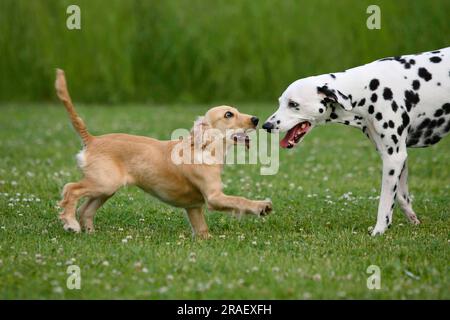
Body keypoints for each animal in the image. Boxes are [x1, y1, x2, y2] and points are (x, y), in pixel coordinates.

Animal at [52, 70, 270, 240]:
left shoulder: (193, 207)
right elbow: (240, 201)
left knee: (85, 210)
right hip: (104, 183)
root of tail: (92, 139)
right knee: (70, 189)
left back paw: (89, 232)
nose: (256, 119)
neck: (205, 148)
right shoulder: (213, 197)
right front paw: (261, 206)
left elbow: (202, 230)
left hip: (106, 188)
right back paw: (70, 223)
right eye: (228, 115)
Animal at [262, 47, 448, 235]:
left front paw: (379, 231)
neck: (367, 90)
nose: (266, 125)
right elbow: (402, 197)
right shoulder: (396, 157)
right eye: (280, 102)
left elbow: (385, 202)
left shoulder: (394, 157)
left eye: (293, 104)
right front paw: (412, 220)